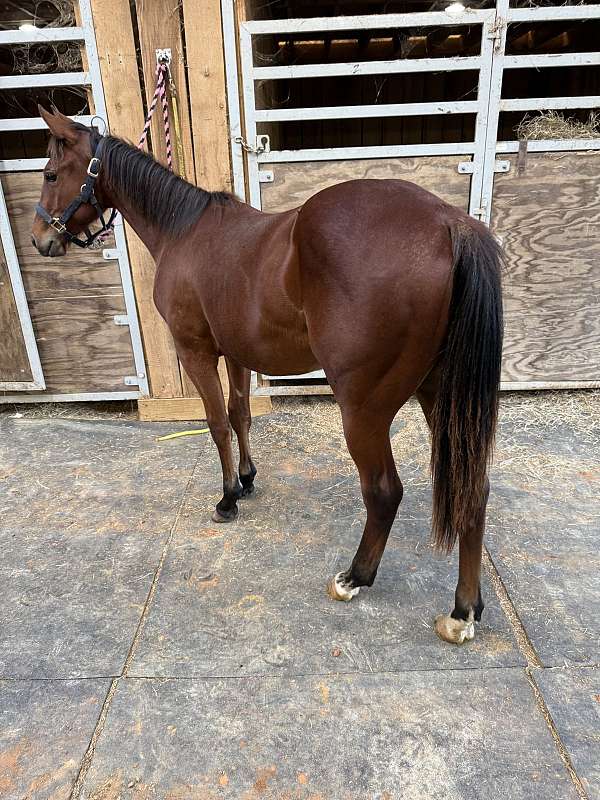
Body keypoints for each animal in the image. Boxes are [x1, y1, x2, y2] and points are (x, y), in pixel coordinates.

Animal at [32, 106, 503, 645]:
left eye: (51, 174)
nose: (40, 239)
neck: (184, 231)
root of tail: (449, 223)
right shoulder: (236, 352)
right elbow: (240, 414)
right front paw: (247, 478)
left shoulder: (196, 352)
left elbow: (217, 424)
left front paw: (227, 498)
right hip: (440, 395)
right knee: (473, 491)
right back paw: (464, 609)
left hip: (364, 410)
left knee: (384, 491)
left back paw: (355, 577)